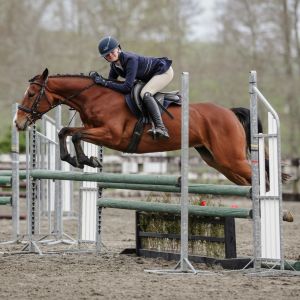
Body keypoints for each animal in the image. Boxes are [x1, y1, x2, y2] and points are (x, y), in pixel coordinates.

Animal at [13, 68, 282, 185]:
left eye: (31, 94)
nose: (18, 122)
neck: (96, 98)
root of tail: (229, 112)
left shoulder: (111, 135)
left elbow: (75, 135)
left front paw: (87, 159)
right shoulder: (96, 132)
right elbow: (66, 132)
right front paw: (79, 159)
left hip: (231, 158)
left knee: (263, 178)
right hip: (218, 161)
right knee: (249, 181)